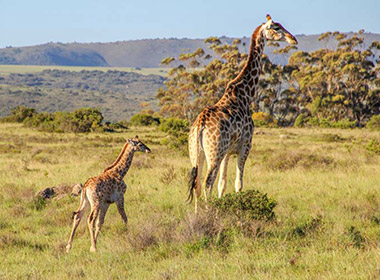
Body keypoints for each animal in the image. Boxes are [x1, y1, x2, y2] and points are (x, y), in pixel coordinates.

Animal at [187, 14, 296, 209]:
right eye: (276, 27)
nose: (293, 39)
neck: (244, 95)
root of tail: (200, 125)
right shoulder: (245, 145)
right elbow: (238, 184)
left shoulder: (228, 151)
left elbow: (223, 184)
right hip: (214, 153)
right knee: (207, 182)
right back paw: (207, 212)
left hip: (196, 153)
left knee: (197, 184)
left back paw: (196, 215)